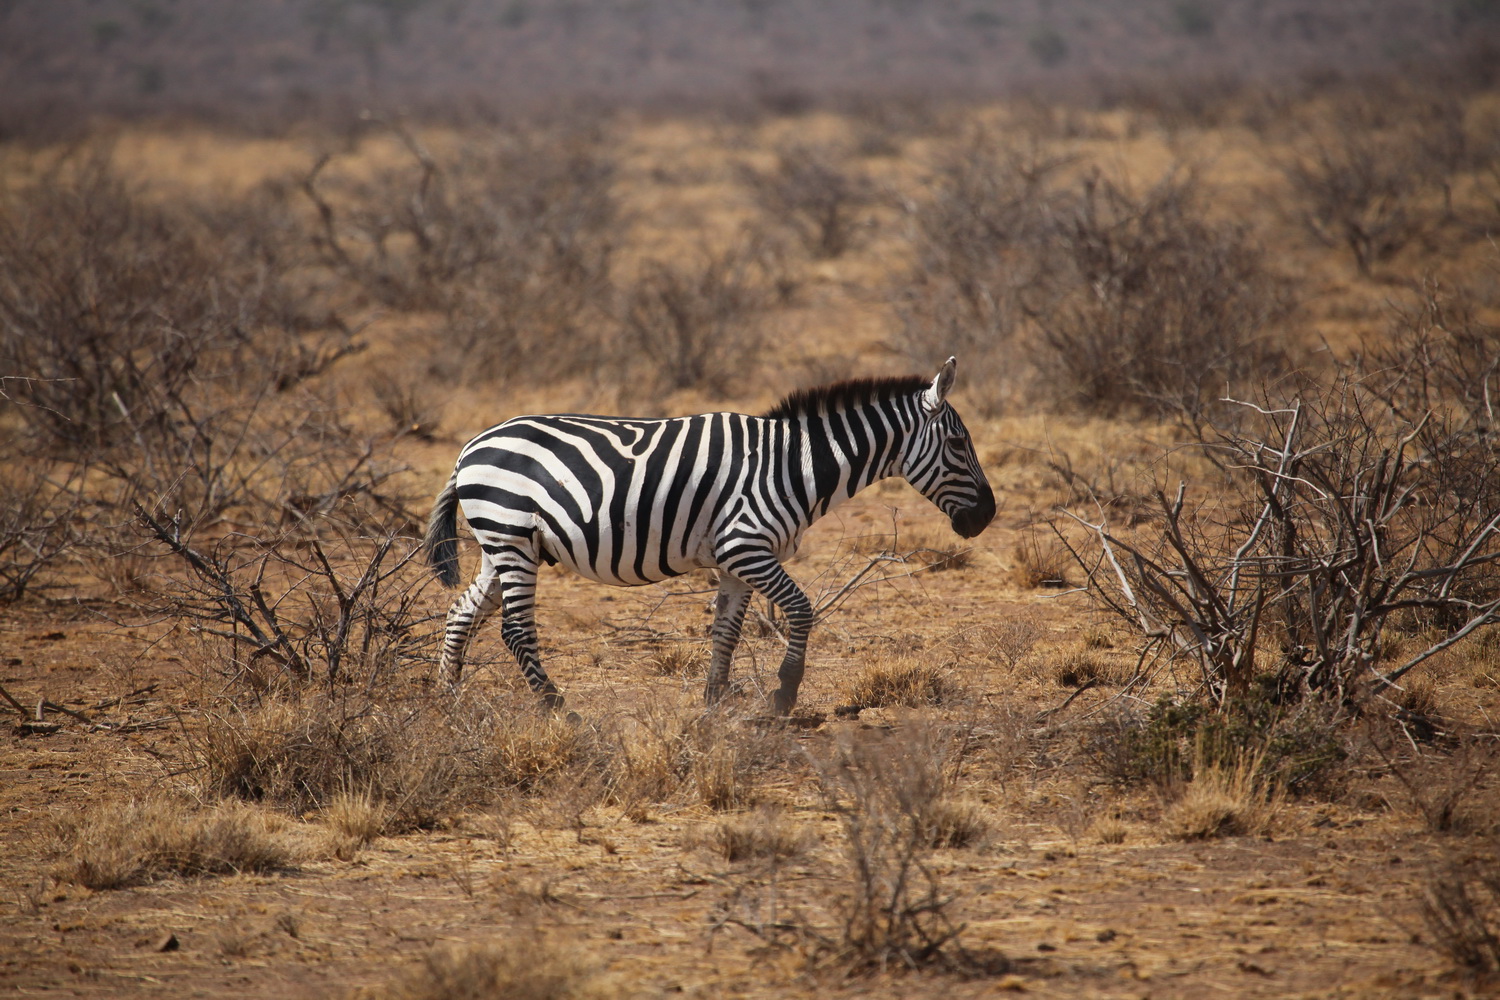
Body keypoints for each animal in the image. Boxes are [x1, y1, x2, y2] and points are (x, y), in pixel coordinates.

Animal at [429, 355, 996, 716]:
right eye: (958, 443)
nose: (988, 516)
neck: (791, 465)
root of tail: (469, 449)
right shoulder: (745, 547)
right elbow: (802, 608)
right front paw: (783, 696)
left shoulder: (737, 561)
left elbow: (726, 631)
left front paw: (715, 703)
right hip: (511, 539)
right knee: (515, 630)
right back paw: (557, 710)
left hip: (501, 547)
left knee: (462, 614)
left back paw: (451, 702)